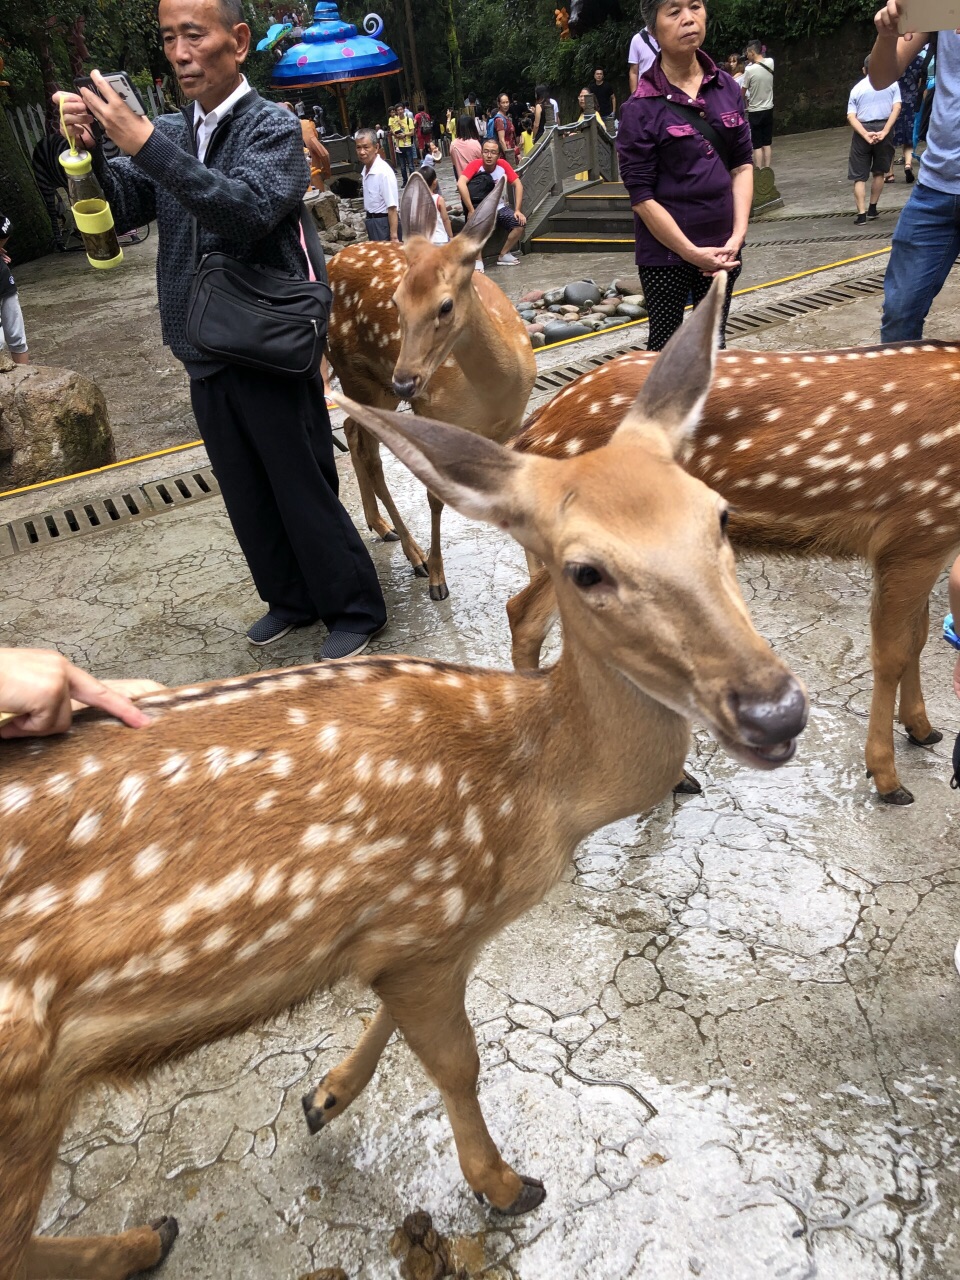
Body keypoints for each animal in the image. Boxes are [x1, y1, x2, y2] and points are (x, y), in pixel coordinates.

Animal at [0, 275, 814, 1274]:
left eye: (721, 516)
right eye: (586, 570)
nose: (775, 711)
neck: (535, 795)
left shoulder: (404, 937)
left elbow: (394, 1024)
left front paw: (325, 1096)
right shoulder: (427, 913)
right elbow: (460, 1061)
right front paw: (503, 1185)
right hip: (21, 1089)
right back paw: (141, 1237)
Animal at [330, 172, 542, 601]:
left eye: (445, 305)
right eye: (395, 302)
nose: (407, 380)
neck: (489, 398)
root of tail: (330, 262)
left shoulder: (513, 422)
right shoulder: (433, 411)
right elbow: (434, 497)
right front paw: (438, 579)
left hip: (375, 388)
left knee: (353, 431)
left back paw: (382, 527)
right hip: (357, 374)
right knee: (368, 450)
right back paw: (414, 555)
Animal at [506, 337, 960, 798]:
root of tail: (532, 428)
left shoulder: (931, 542)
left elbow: (918, 638)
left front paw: (923, 729)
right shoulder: (917, 530)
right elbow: (892, 652)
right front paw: (888, 779)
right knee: (524, 613)